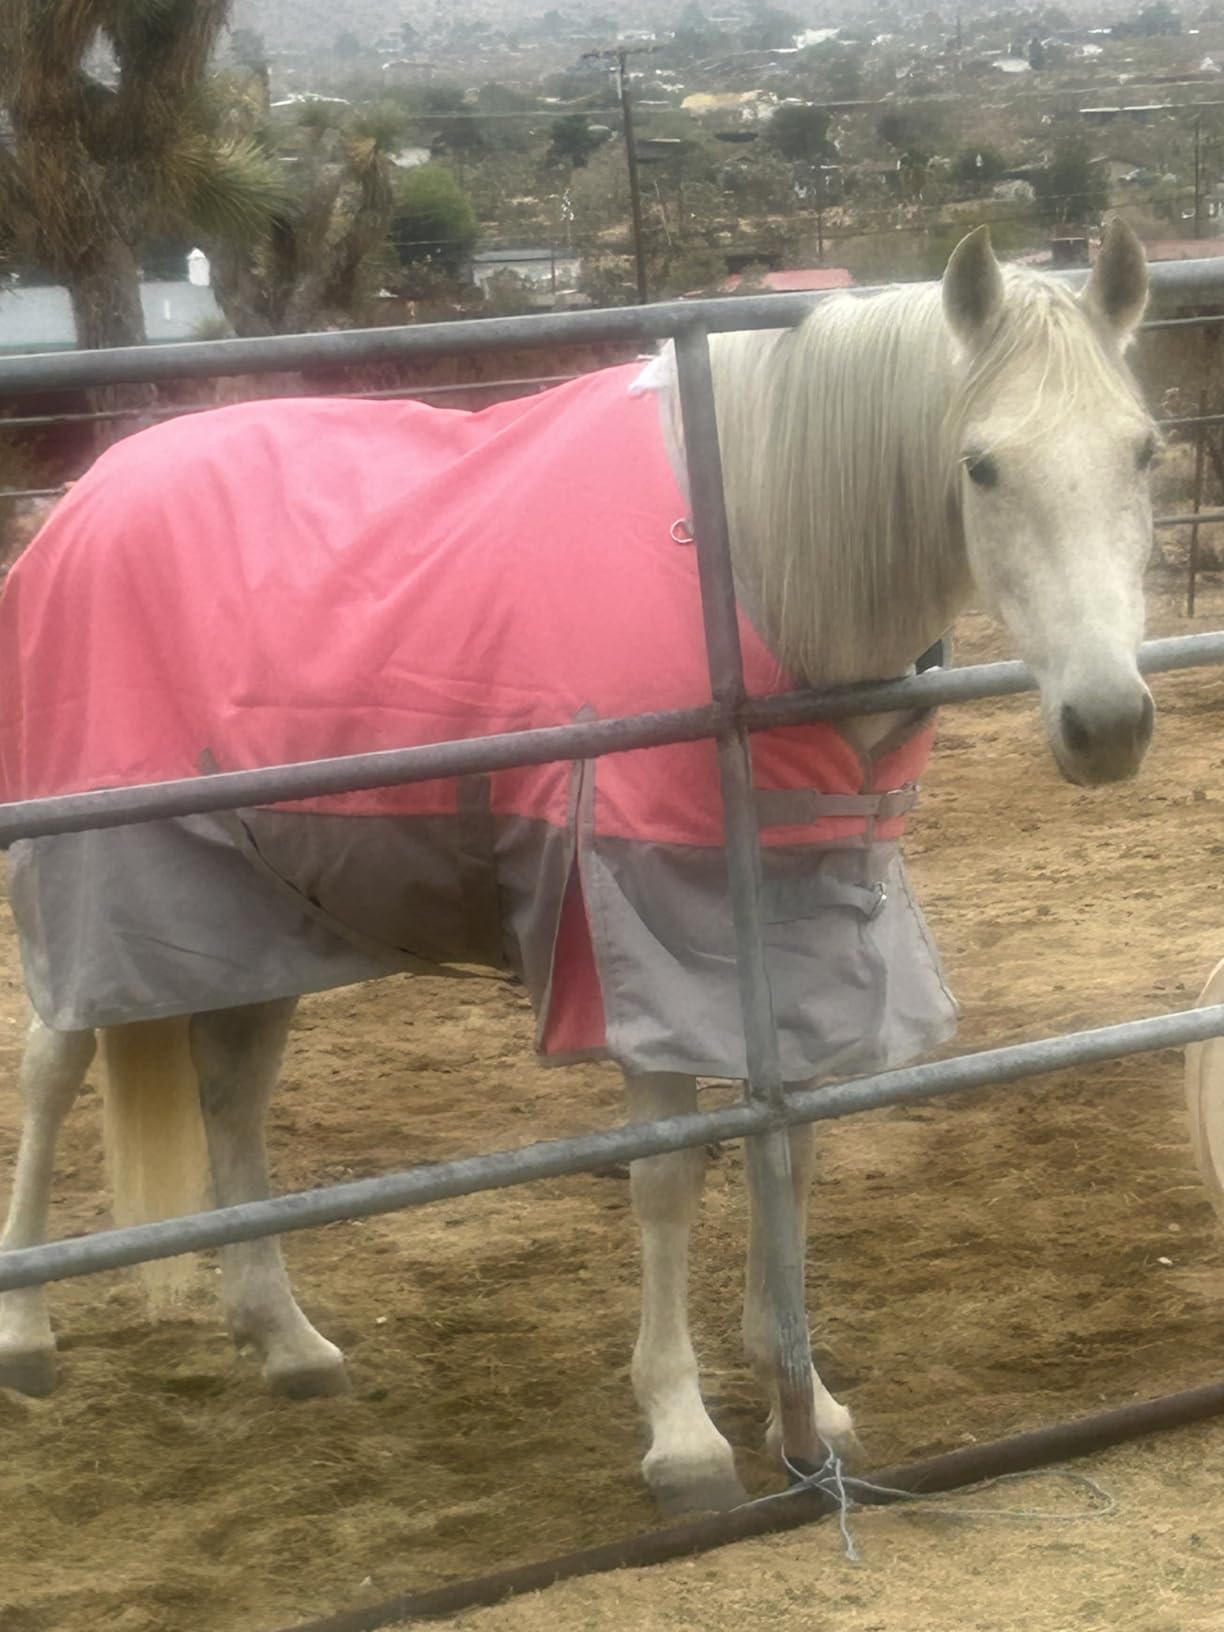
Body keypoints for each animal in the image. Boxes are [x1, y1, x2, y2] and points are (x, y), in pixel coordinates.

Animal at [0, 221, 1159, 1513]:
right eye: (982, 466)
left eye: (1144, 449)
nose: (1108, 724)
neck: (751, 567)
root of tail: (87, 498)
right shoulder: (634, 937)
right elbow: (666, 1177)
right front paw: (683, 1432)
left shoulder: (795, 932)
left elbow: (790, 1143)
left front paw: (805, 1406)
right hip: (99, 884)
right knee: (52, 1068)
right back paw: (29, 1334)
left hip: (259, 913)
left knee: (230, 1095)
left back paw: (286, 1341)